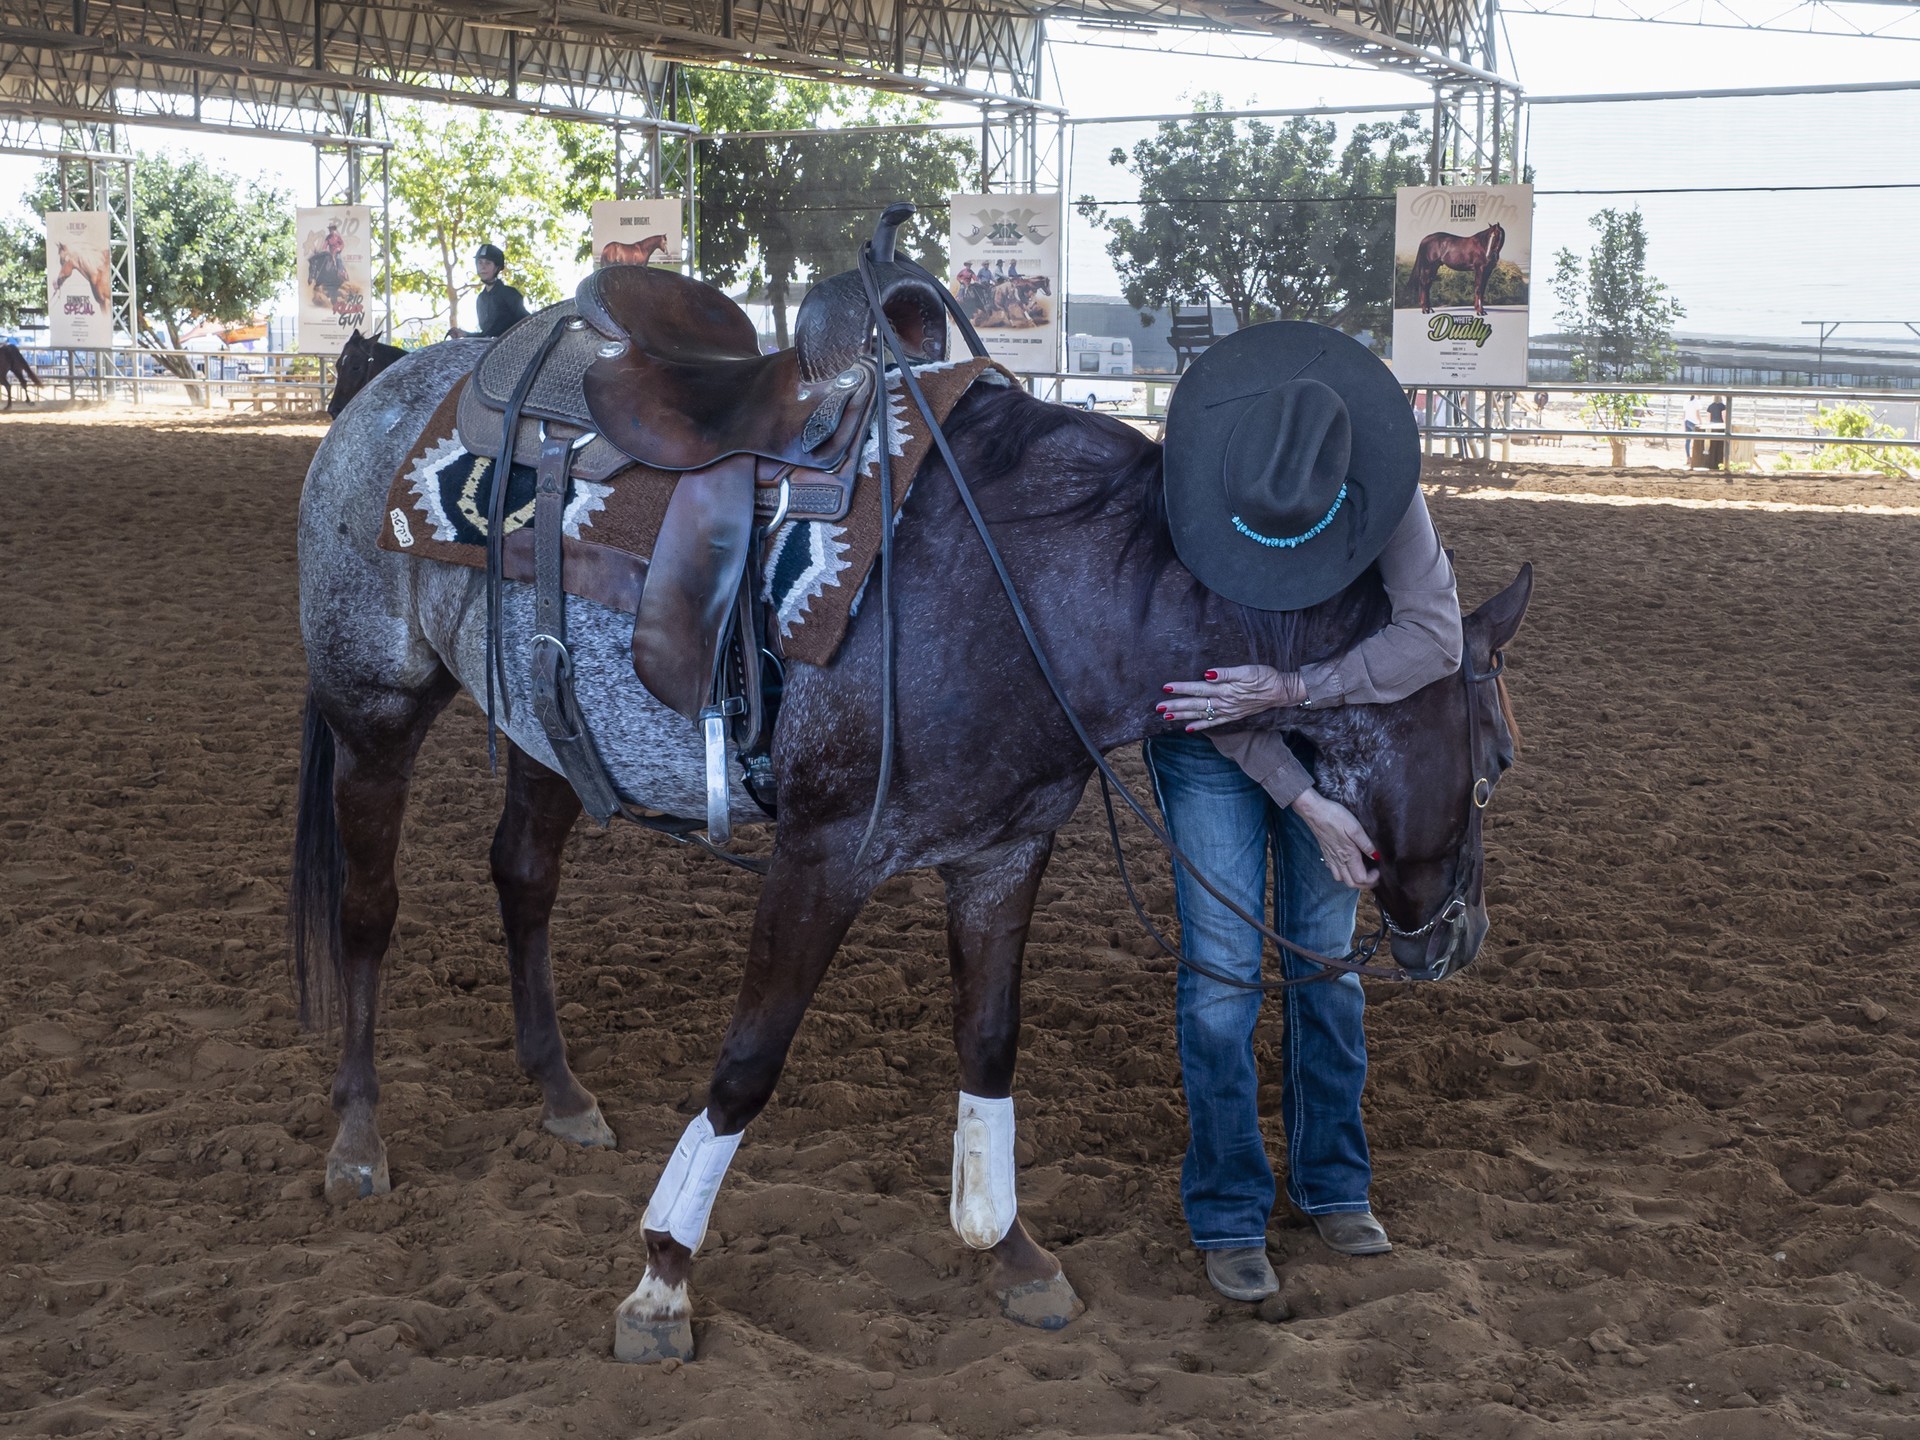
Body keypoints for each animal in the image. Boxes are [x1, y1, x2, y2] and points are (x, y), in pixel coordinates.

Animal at [291, 337, 1536, 1367]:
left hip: (544, 730)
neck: (1028, 590)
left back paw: (558, 1093)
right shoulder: (823, 855)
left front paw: (1011, 1251)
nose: (1461, 937)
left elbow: (988, 1046)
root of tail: (387, 383)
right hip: (374, 714)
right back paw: (357, 1139)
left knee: (523, 878)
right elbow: (747, 1064)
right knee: (367, 912)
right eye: (1494, 758)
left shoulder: (1003, 853)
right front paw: (663, 1279)